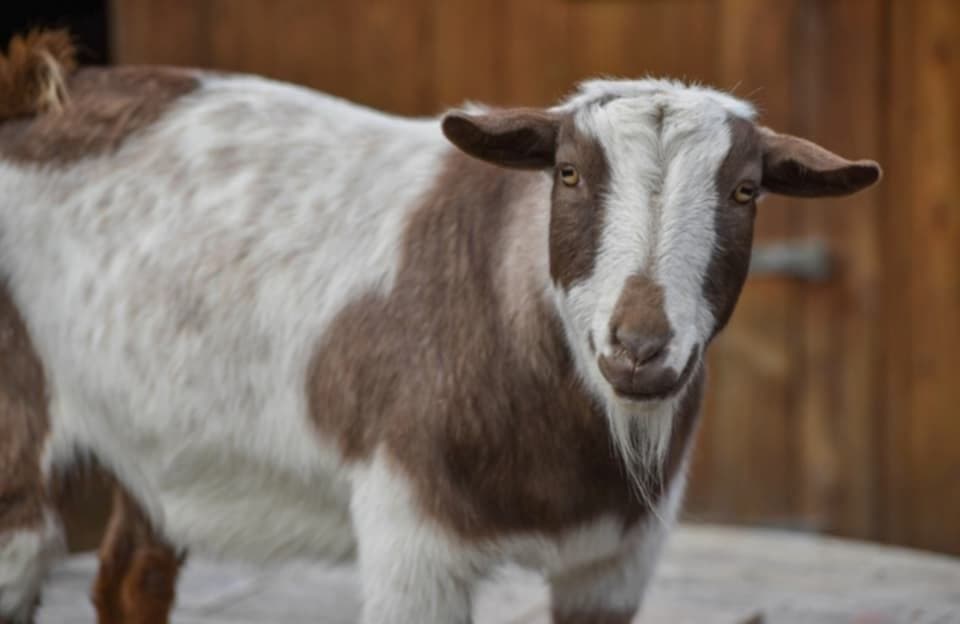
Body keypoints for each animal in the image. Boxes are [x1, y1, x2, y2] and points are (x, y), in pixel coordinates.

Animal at [0, 30, 880, 624]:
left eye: (746, 191)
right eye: (567, 173)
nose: (639, 348)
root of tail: (32, 92)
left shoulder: (617, 561)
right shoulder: (409, 536)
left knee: (131, 576)